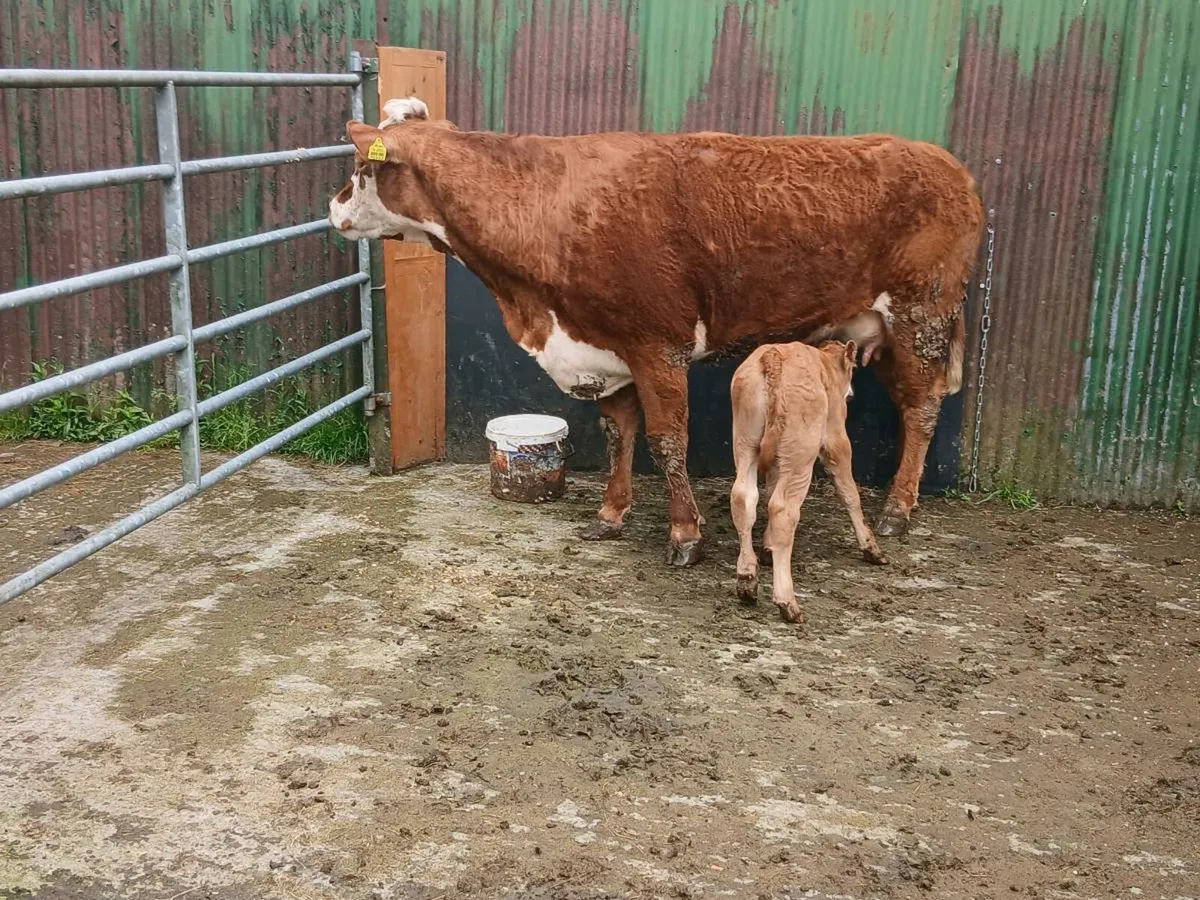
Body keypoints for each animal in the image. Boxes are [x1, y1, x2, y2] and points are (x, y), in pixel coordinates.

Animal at [328, 97, 984, 567]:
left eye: (362, 168)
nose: (333, 208)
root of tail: (949, 164)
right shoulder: (603, 349)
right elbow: (619, 434)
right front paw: (611, 513)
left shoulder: (656, 346)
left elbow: (668, 441)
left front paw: (686, 534)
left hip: (921, 318)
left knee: (922, 409)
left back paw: (898, 508)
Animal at [730, 327, 890, 626]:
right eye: (852, 368)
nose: (851, 394)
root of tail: (773, 355)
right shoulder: (836, 438)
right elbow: (849, 492)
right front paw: (871, 547)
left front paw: (767, 548)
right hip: (801, 454)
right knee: (783, 509)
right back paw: (787, 603)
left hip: (746, 442)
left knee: (744, 498)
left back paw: (747, 579)